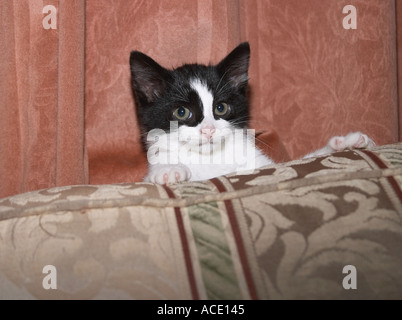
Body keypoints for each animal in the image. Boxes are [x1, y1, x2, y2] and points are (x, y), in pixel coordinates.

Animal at [130, 42, 376, 185]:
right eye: (182, 112)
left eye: (221, 108)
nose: (209, 130)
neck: (211, 159)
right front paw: (167, 171)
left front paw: (345, 143)